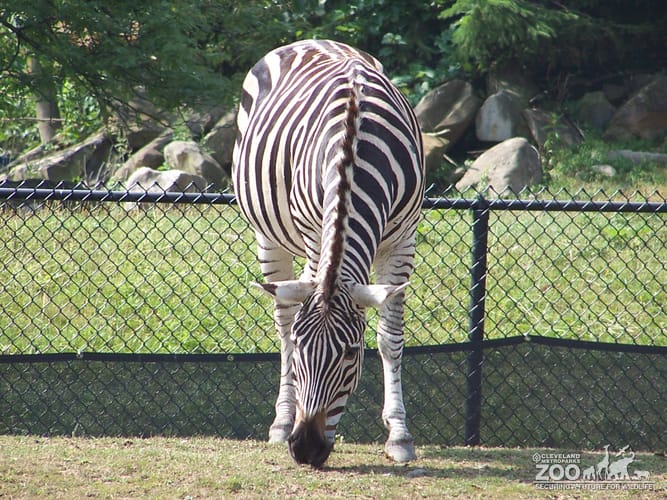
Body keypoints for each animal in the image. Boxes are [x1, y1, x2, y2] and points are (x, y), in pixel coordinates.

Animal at [232, 39, 424, 467]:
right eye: (303, 352)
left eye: (351, 354)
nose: (305, 448)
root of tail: (313, 41)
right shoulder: (312, 235)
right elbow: (291, 329)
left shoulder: (402, 242)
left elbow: (391, 339)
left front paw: (400, 435)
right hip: (268, 235)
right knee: (283, 320)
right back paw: (281, 422)